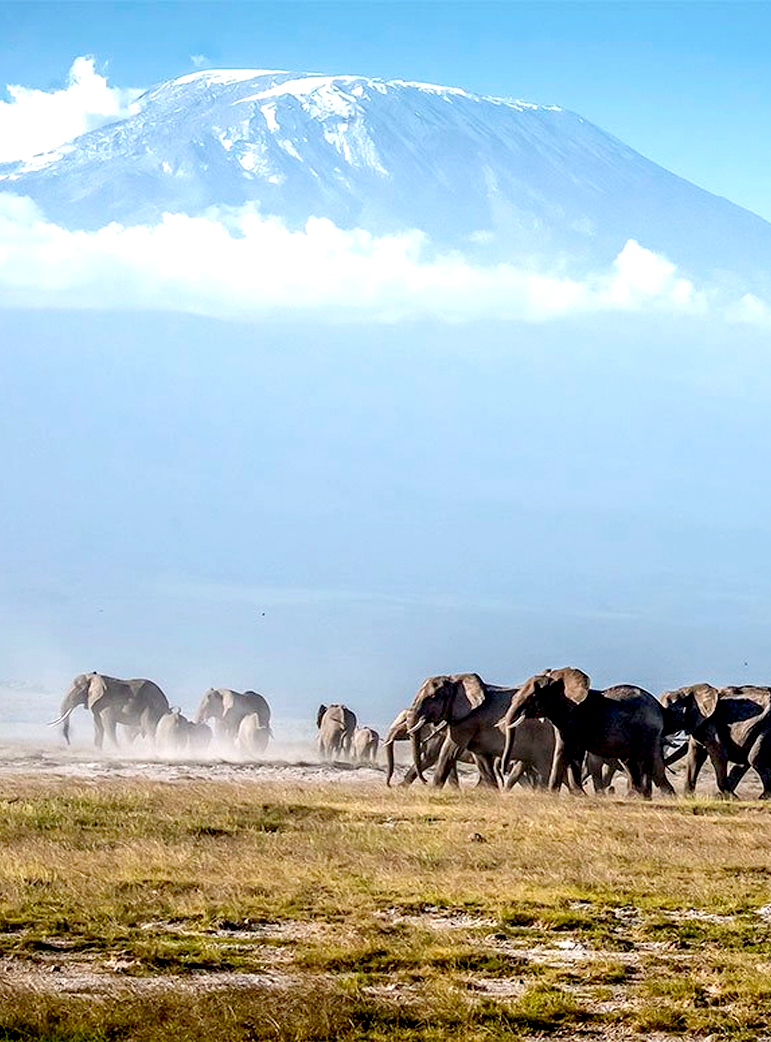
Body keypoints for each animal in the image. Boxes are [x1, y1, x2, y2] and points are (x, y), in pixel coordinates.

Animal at [502, 666, 670, 796]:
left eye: (534, 695)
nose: (504, 770)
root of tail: (659, 707)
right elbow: (574, 755)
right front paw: (578, 794)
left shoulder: (573, 722)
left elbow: (564, 751)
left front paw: (552, 794)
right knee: (630, 761)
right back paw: (633, 796)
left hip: (647, 730)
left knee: (646, 759)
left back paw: (643, 796)